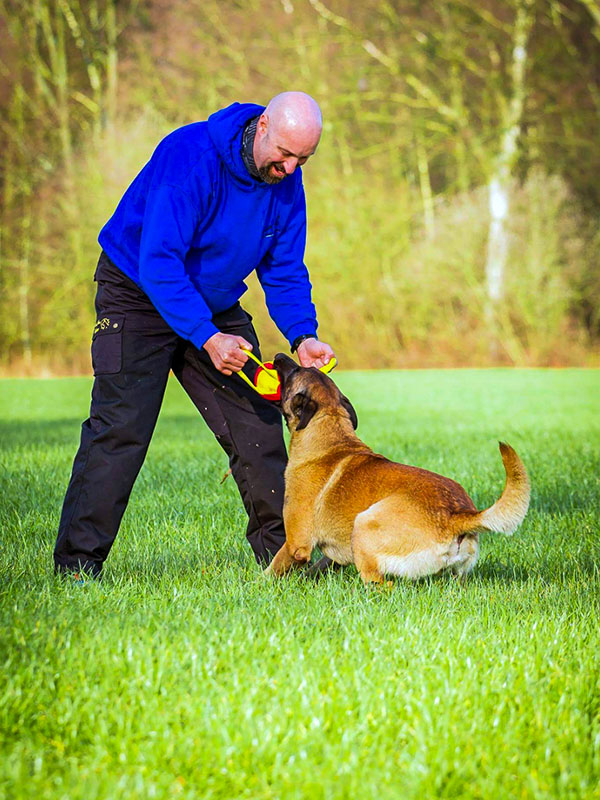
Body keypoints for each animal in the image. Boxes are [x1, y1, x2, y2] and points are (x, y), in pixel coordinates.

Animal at [266, 354, 528, 584]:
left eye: (295, 371)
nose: (279, 356)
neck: (330, 429)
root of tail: (455, 515)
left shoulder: (296, 544)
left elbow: (272, 570)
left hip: (363, 525)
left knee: (381, 585)